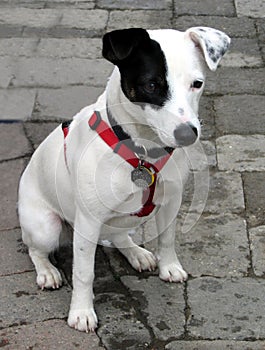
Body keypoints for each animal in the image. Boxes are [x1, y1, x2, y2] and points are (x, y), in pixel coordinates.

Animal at [18, 26, 229, 330]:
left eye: (197, 84)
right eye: (151, 85)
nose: (187, 135)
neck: (143, 152)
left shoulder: (171, 201)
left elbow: (167, 239)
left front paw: (169, 267)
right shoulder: (88, 221)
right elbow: (84, 273)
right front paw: (81, 311)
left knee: (118, 237)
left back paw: (136, 252)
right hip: (46, 227)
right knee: (36, 249)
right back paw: (47, 271)